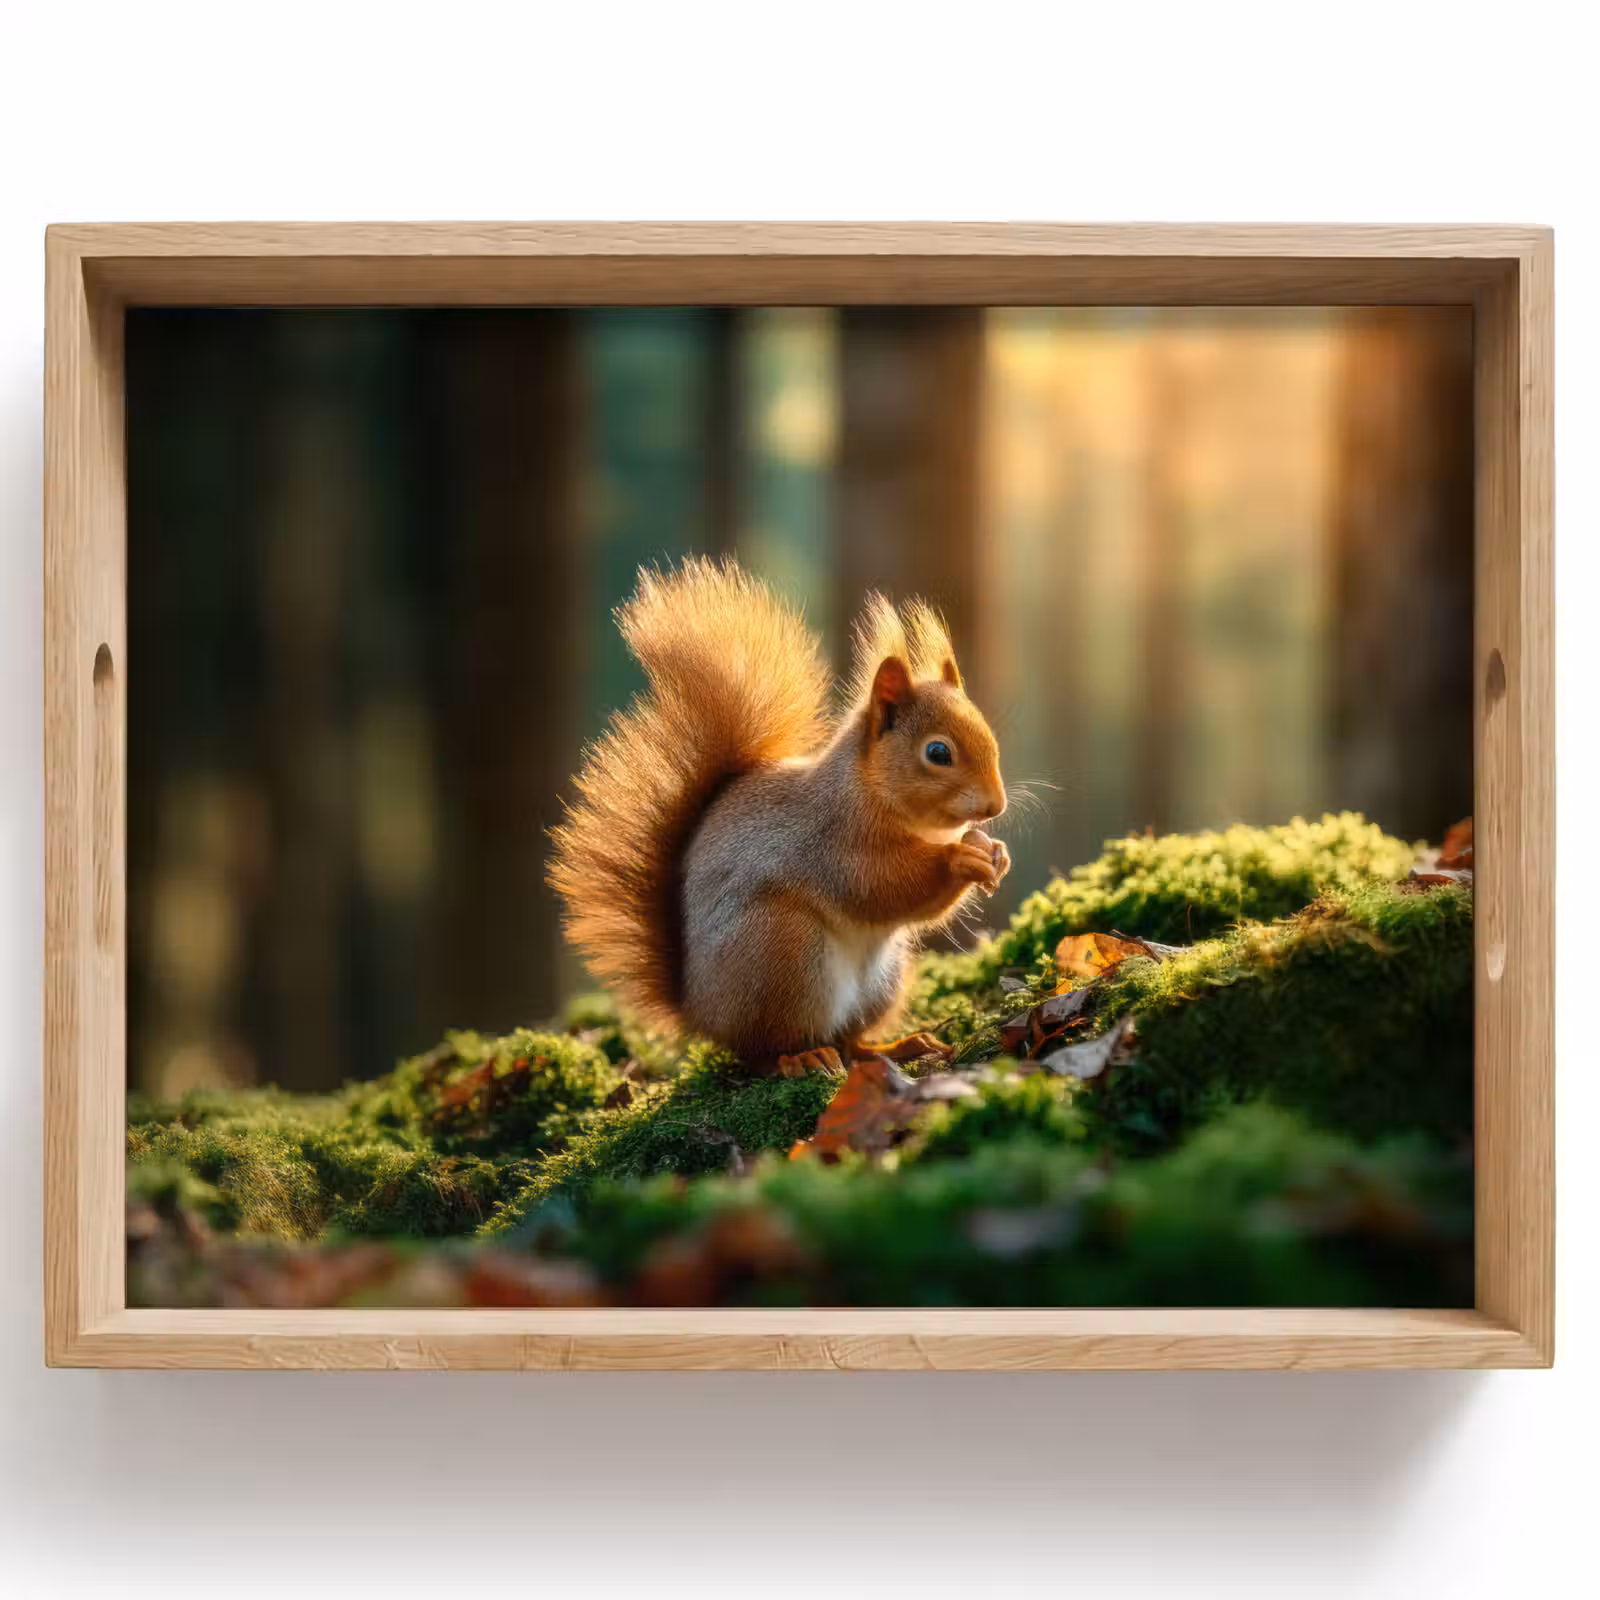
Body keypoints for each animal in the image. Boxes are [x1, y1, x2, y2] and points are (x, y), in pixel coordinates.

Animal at [548, 557, 1009, 1075]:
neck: (869, 791)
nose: (996, 806)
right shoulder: (833, 842)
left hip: (881, 980)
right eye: (938, 752)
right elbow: (883, 886)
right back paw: (803, 1057)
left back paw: (896, 1047)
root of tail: (700, 1013)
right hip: (784, 954)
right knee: (767, 1050)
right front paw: (960, 859)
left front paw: (994, 852)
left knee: (851, 1041)